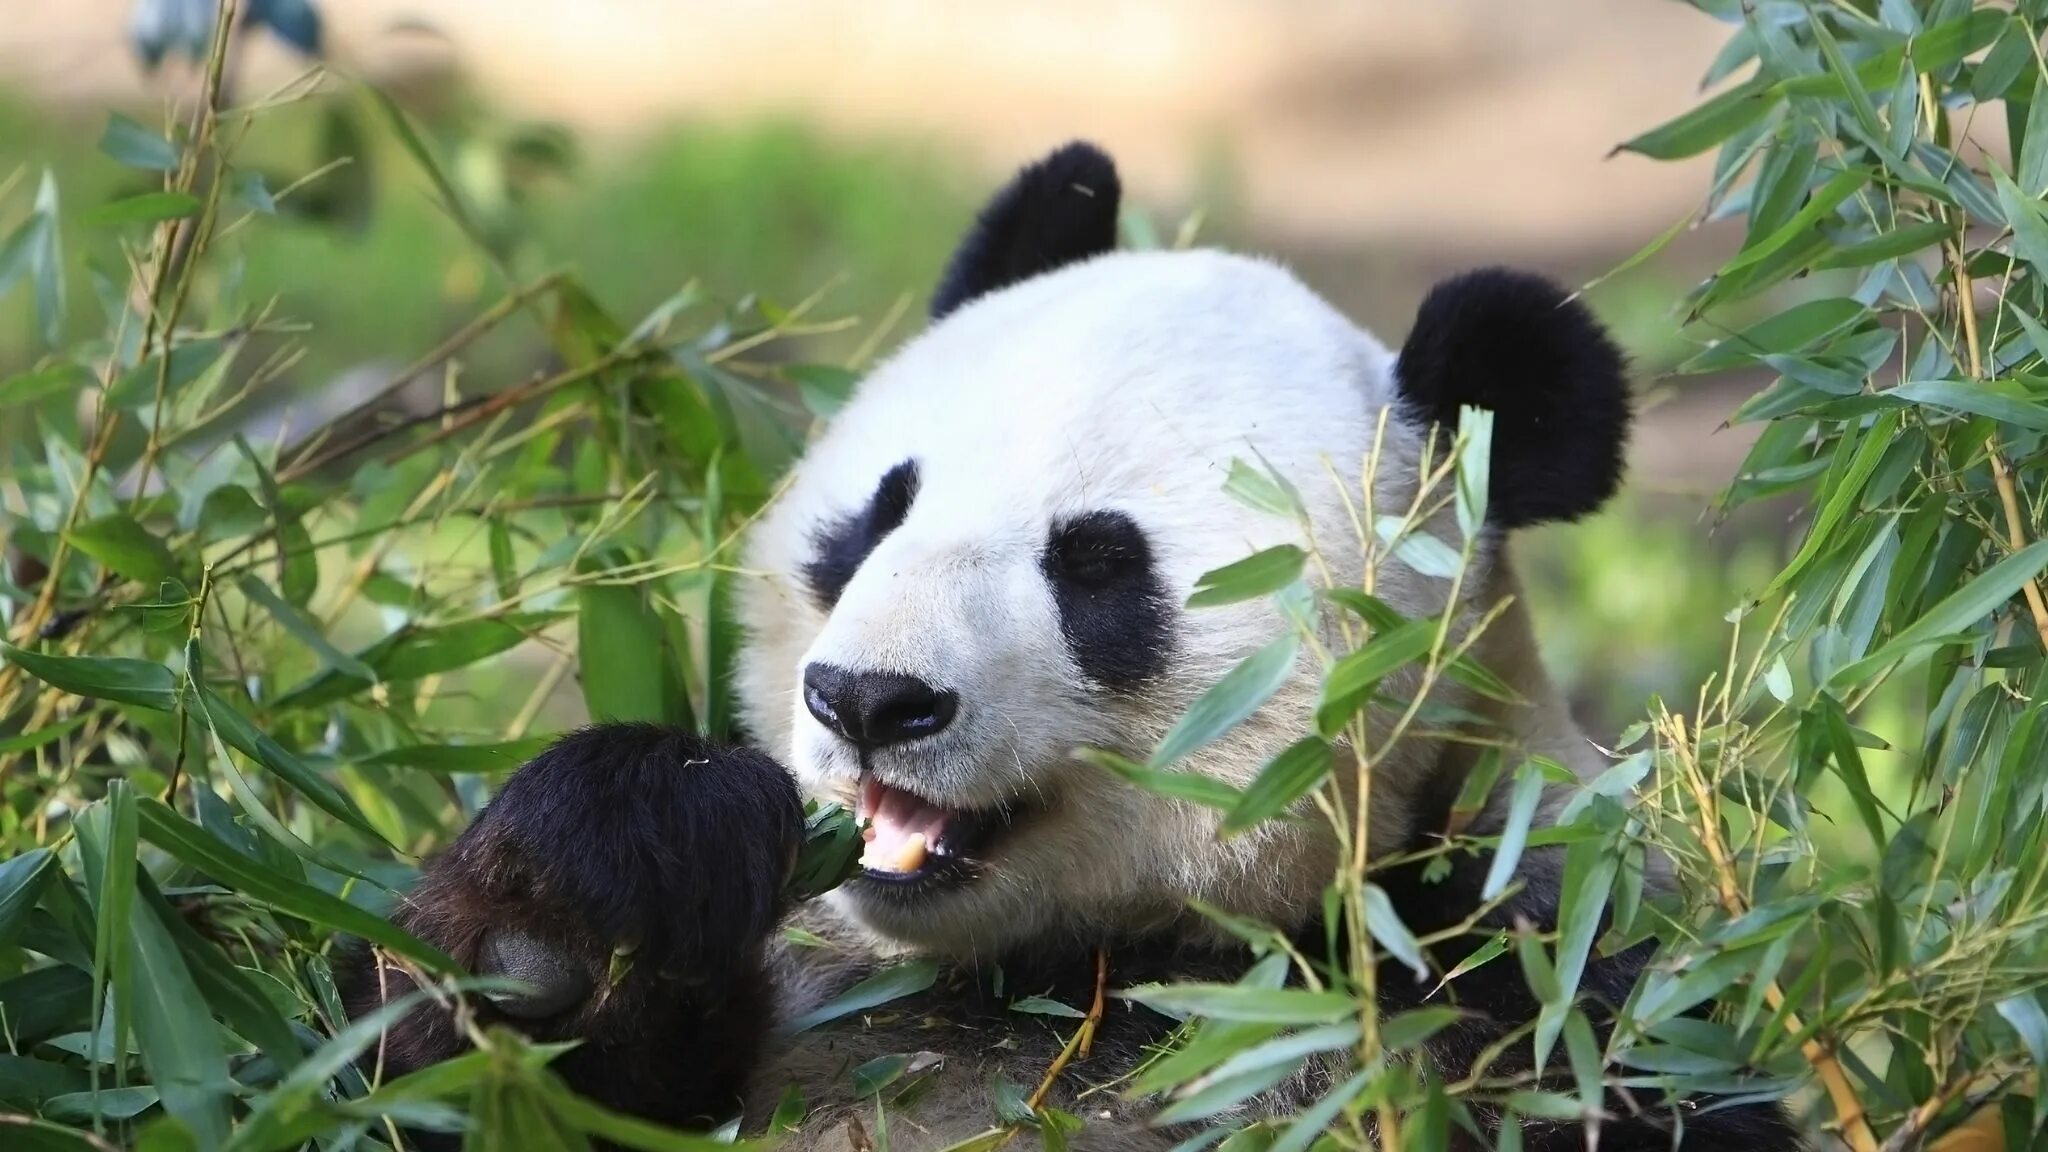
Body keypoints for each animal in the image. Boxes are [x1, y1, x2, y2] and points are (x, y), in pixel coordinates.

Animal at [344, 143, 1802, 1147]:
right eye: (877, 513)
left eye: (1097, 566)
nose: (866, 700)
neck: (1071, 971)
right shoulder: (813, 977)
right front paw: (589, 893)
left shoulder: (1543, 972)